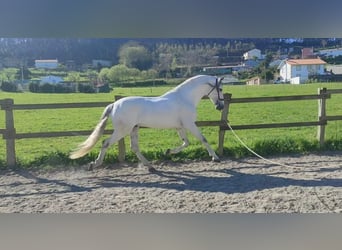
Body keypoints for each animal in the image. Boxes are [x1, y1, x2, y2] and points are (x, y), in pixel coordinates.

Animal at [69, 74, 224, 172]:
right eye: (221, 89)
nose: (220, 106)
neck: (185, 98)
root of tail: (114, 105)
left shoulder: (179, 127)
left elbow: (186, 143)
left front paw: (168, 151)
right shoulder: (190, 124)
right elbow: (203, 139)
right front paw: (215, 158)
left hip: (133, 129)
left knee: (134, 148)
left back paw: (150, 166)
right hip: (123, 130)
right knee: (106, 143)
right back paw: (94, 164)